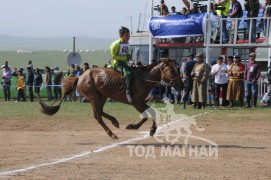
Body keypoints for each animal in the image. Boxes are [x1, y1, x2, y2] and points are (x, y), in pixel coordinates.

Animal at [37, 59, 183, 139]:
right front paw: (142, 128)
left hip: (102, 96)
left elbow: (149, 113)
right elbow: (149, 114)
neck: (142, 79)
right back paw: (112, 133)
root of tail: (80, 76)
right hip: (93, 97)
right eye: (172, 70)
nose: (181, 85)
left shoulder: (140, 102)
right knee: (98, 116)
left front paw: (143, 128)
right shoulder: (136, 102)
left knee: (100, 112)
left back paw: (115, 122)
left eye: (177, 69)